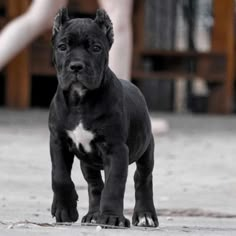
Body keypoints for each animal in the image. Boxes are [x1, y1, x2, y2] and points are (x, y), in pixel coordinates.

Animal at [48, 8, 158, 228]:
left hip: (146, 149)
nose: (76, 66)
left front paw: (111, 217)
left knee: (142, 179)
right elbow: (60, 176)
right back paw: (92, 215)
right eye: (62, 47)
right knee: (95, 185)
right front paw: (64, 210)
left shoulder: (115, 149)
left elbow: (114, 185)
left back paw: (145, 215)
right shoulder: (57, 142)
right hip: (88, 163)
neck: (80, 100)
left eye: (96, 48)